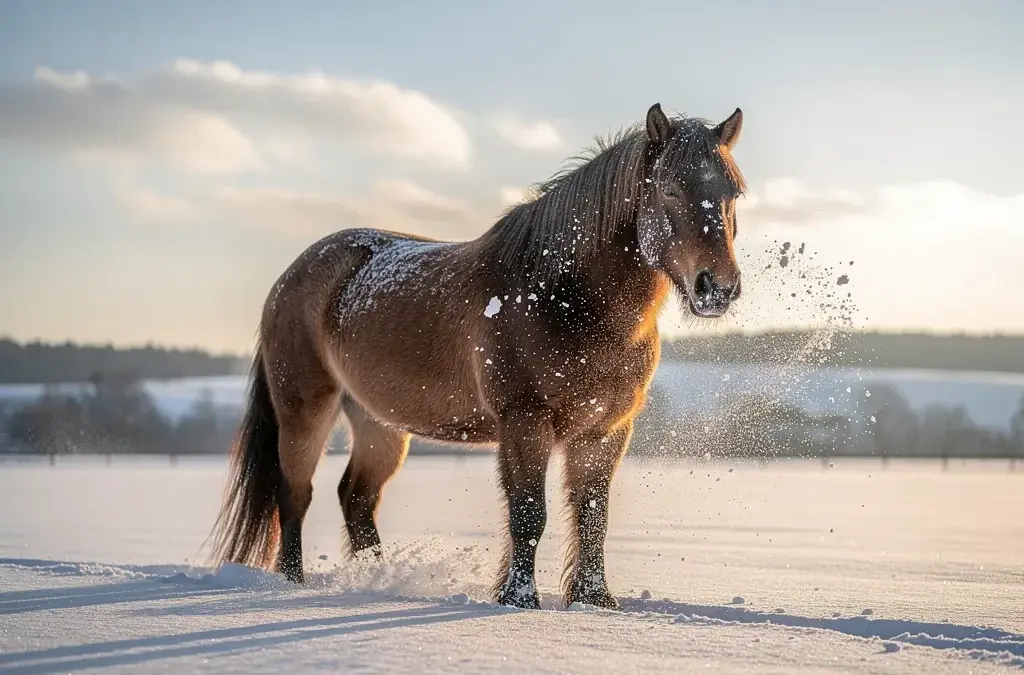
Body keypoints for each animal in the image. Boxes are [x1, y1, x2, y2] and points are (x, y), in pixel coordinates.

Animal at [208, 102, 747, 609]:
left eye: (733, 194)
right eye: (670, 189)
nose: (716, 287)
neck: (566, 299)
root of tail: (292, 276)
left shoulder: (605, 430)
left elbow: (593, 515)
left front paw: (594, 599)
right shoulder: (525, 422)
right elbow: (529, 514)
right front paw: (519, 598)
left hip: (379, 424)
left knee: (357, 499)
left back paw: (376, 579)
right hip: (304, 411)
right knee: (294, 496)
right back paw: (291, 583)